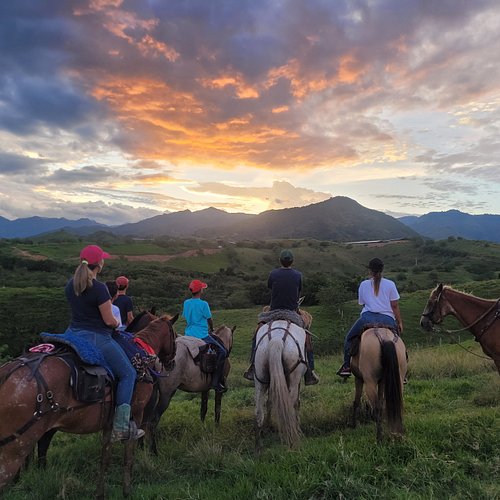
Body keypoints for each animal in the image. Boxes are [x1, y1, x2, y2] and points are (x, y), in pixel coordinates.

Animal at [0, 312, 178, 496]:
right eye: (175, 336)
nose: (172, 362)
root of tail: (7, 373)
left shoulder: (110, 424)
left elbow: (104, 458)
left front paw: (100, 493)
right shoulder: (135, 414)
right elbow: (128, 457)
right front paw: (127, 491)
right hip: (15, 448)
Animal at [254, 320, 308, 450]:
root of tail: (277, 337)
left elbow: (270, 402)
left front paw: (268, 426)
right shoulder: (296, 382)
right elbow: (297, 403)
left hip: (260, 378)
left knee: (258, 410)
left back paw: (258, 445)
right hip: (293, 379)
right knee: (291, 404)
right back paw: (291, 437)